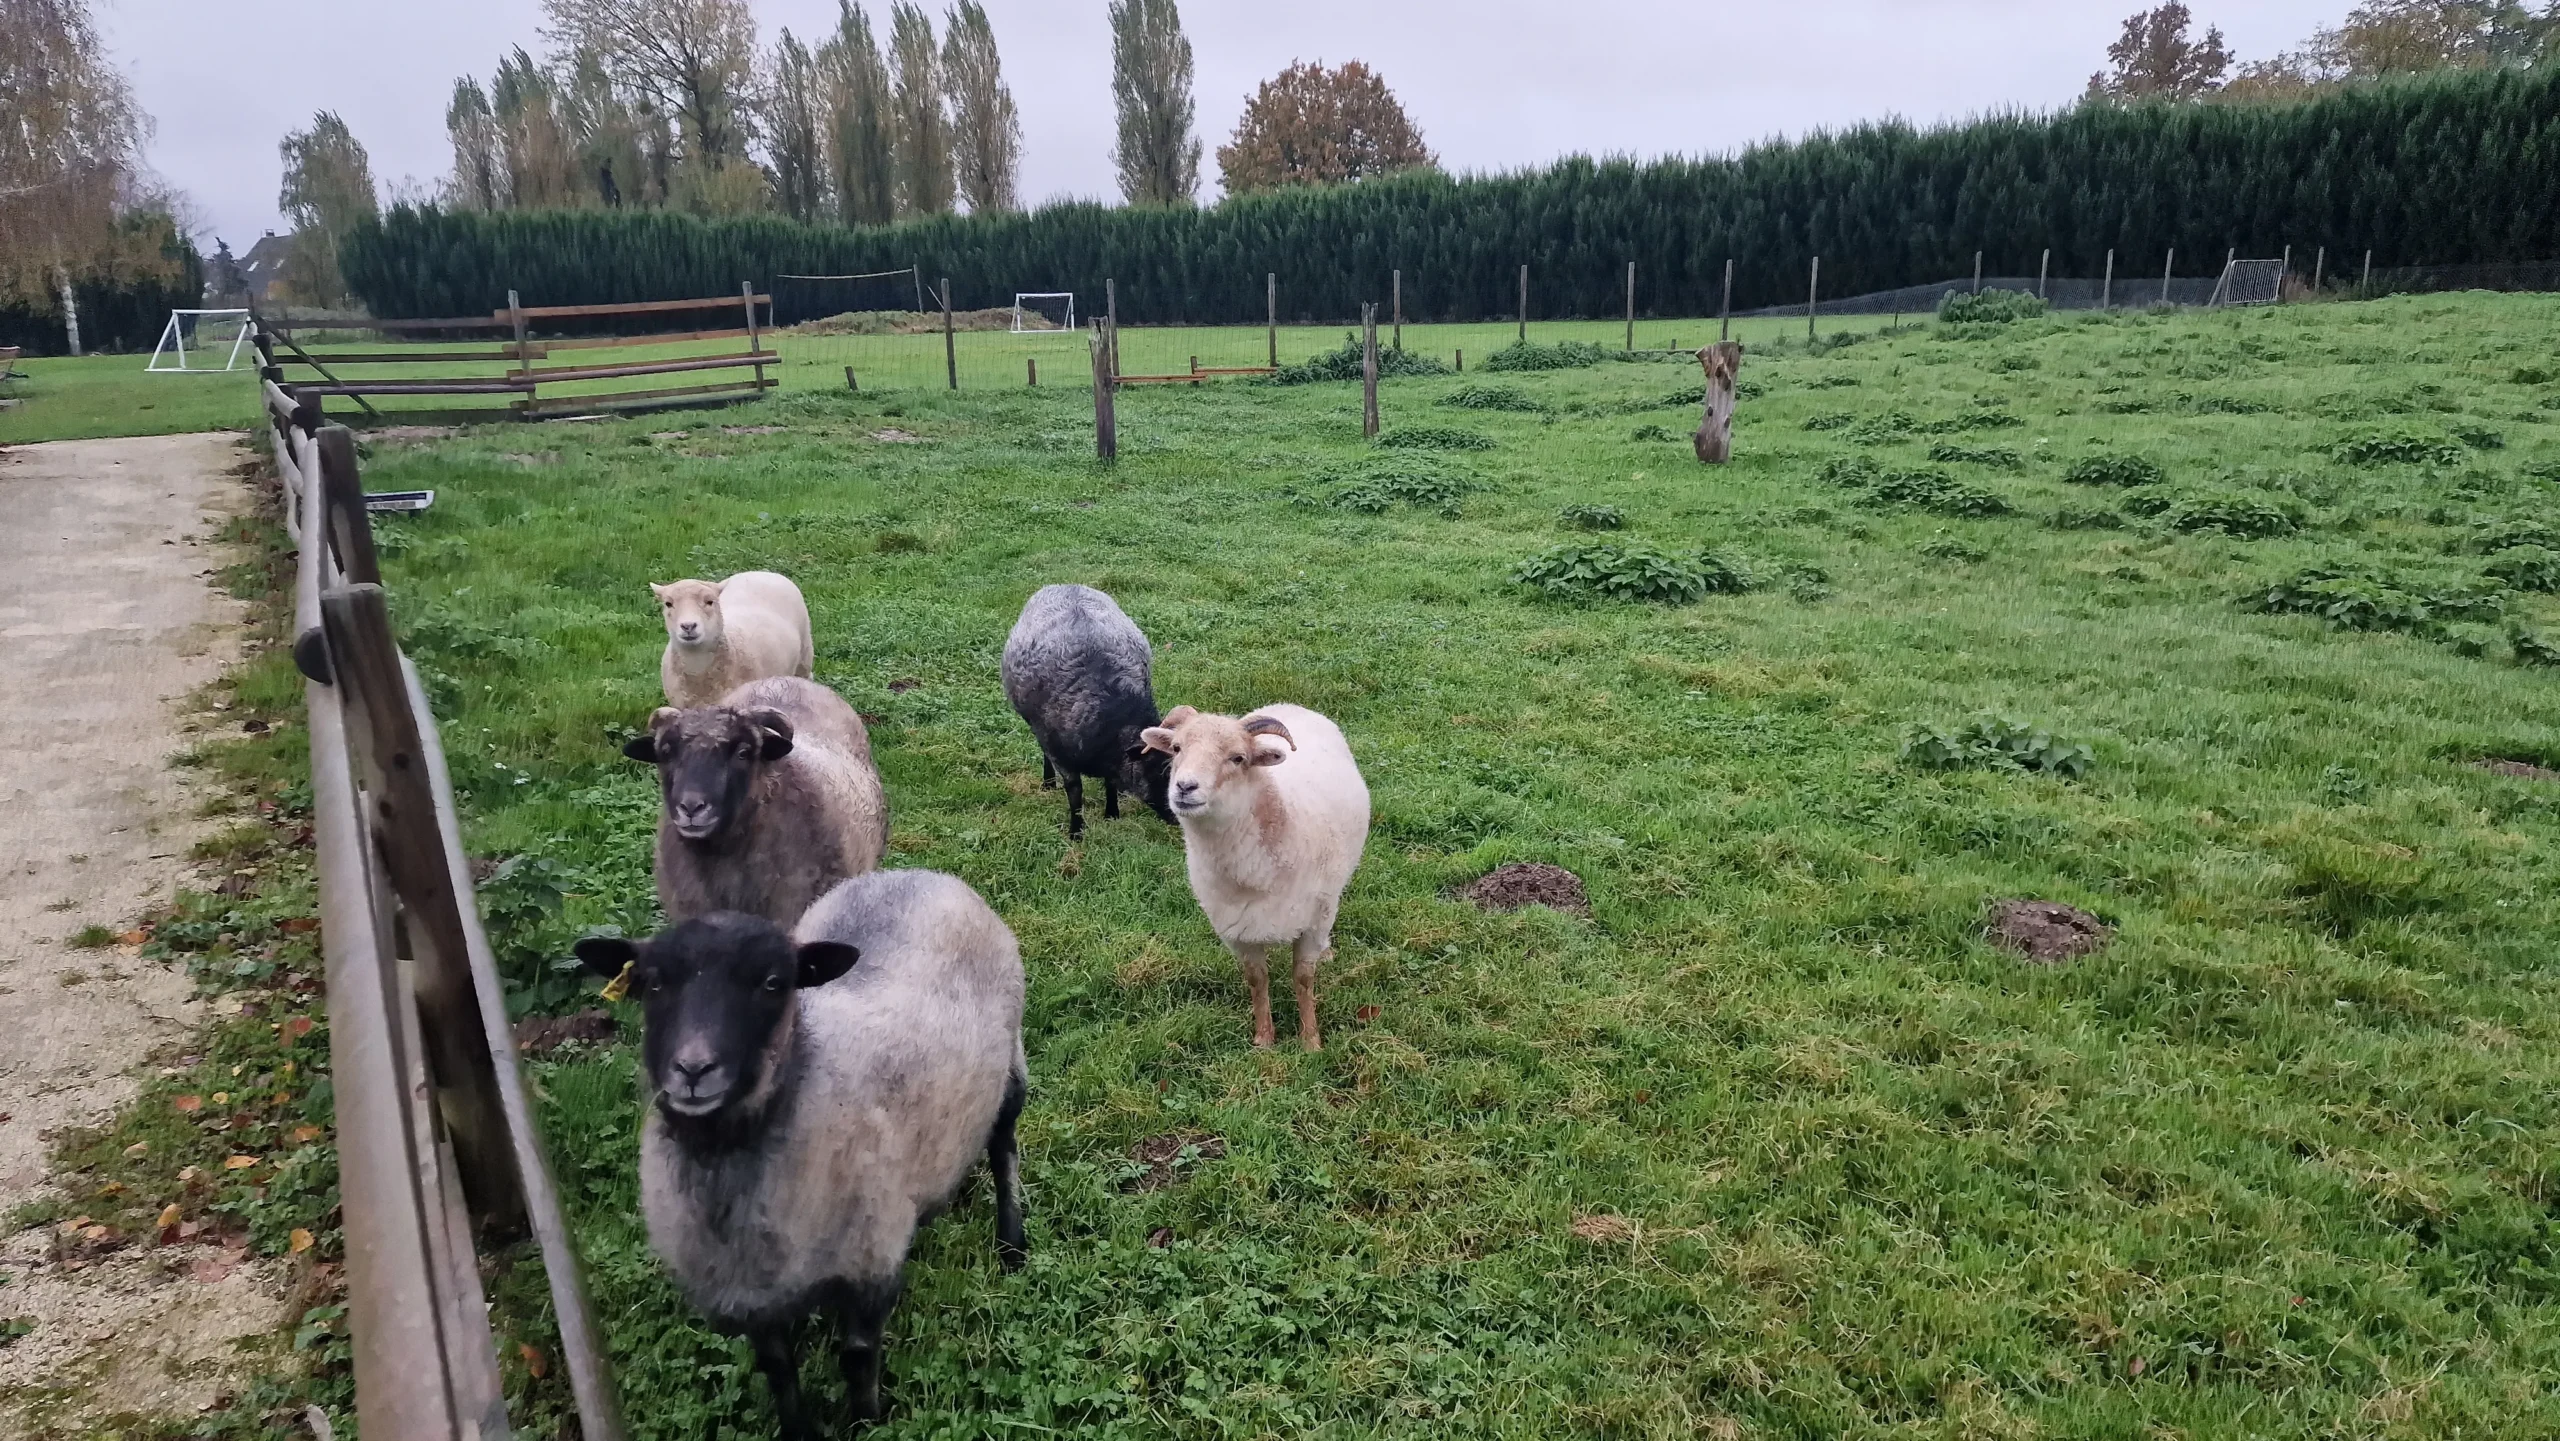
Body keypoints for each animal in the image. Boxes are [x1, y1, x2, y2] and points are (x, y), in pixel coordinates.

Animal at [576, 865, 1024, 1433]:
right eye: (652, 984)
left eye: (773, 983)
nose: (693, 1069)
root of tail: (921, 873)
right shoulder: (750, 1298)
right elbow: (777, 1370)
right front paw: (799, 1428)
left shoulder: (870, 1261)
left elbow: (857, 1357)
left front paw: (868, 1422)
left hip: (1010, 1066)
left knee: (1004, 1148)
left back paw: (1012, 1244)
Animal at [998, 581, 1177, 839]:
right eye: (1156, 771)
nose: (1178, 816)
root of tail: (1065, 584)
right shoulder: (1061, 754)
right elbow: (1075, 793)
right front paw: (1076, 832)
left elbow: (1110, 782)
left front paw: (1112, 813)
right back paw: (1048, 783)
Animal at [1141, 706, 1372, 1054]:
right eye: (1177, 748)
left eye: (1238, 758)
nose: (1185, 787)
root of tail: (1290, 704)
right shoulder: (1237, 931)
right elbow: (1257, 980)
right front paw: (1264, 1039)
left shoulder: (1313, 921)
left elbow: (1303, 978)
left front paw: (1310, 1041)